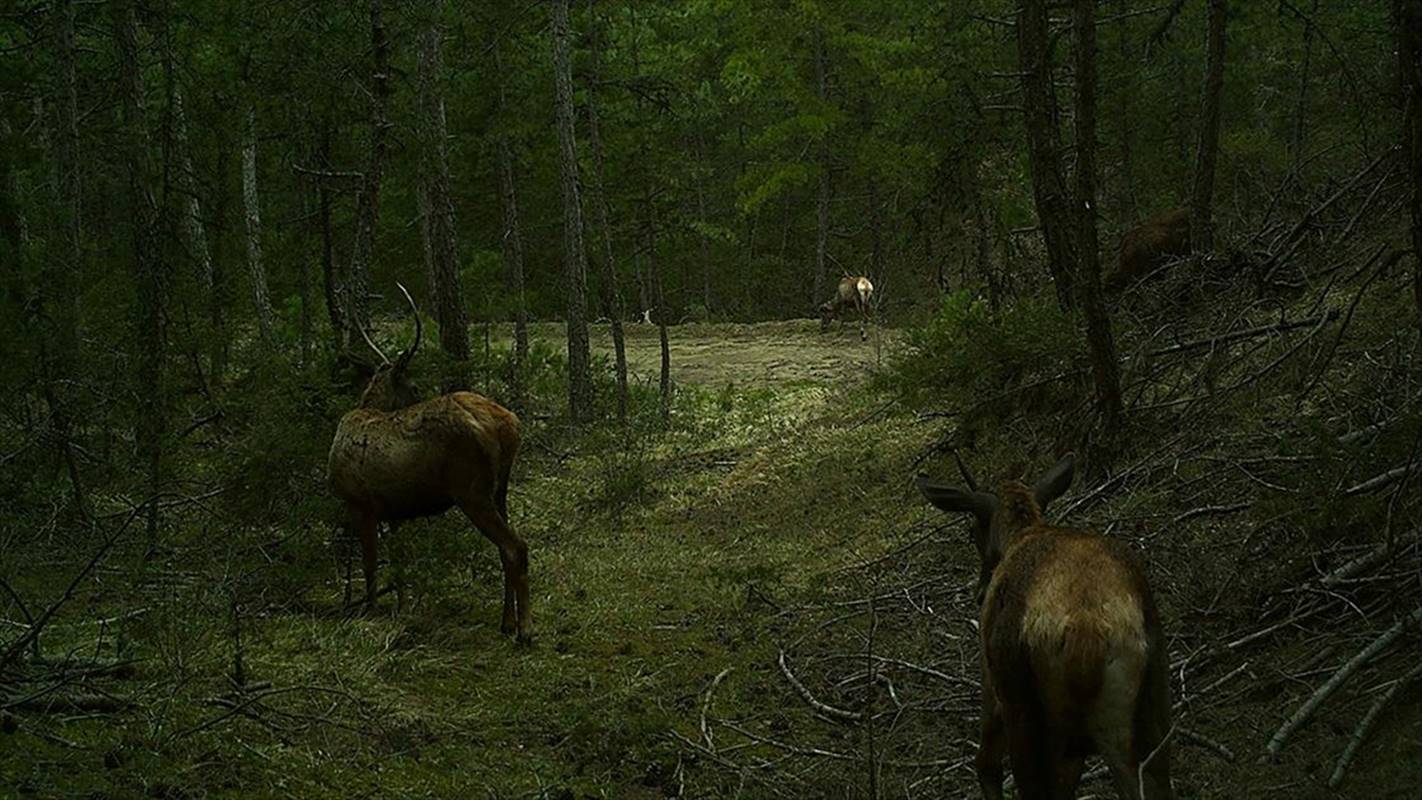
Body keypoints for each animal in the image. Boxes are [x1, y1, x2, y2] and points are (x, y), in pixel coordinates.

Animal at [325, 284, 531, 642]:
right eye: (415, 385)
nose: (419, 394)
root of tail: (507, 426)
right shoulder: (392, 512)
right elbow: (399, 564)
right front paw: (403, 607)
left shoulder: (359, 503)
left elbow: (370, 565)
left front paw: (370, 612)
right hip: (499, 490)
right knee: (507, 549)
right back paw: (507, 622)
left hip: (471, 490)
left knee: (516, 547)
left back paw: (525, 629)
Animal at [915, 457, 1171, 800]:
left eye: (971, 531)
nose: (980, 592)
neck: (1021, 533)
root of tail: (1087, 633)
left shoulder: (991, 676)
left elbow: (986, 762)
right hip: (1148, 706)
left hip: (1030, 710)